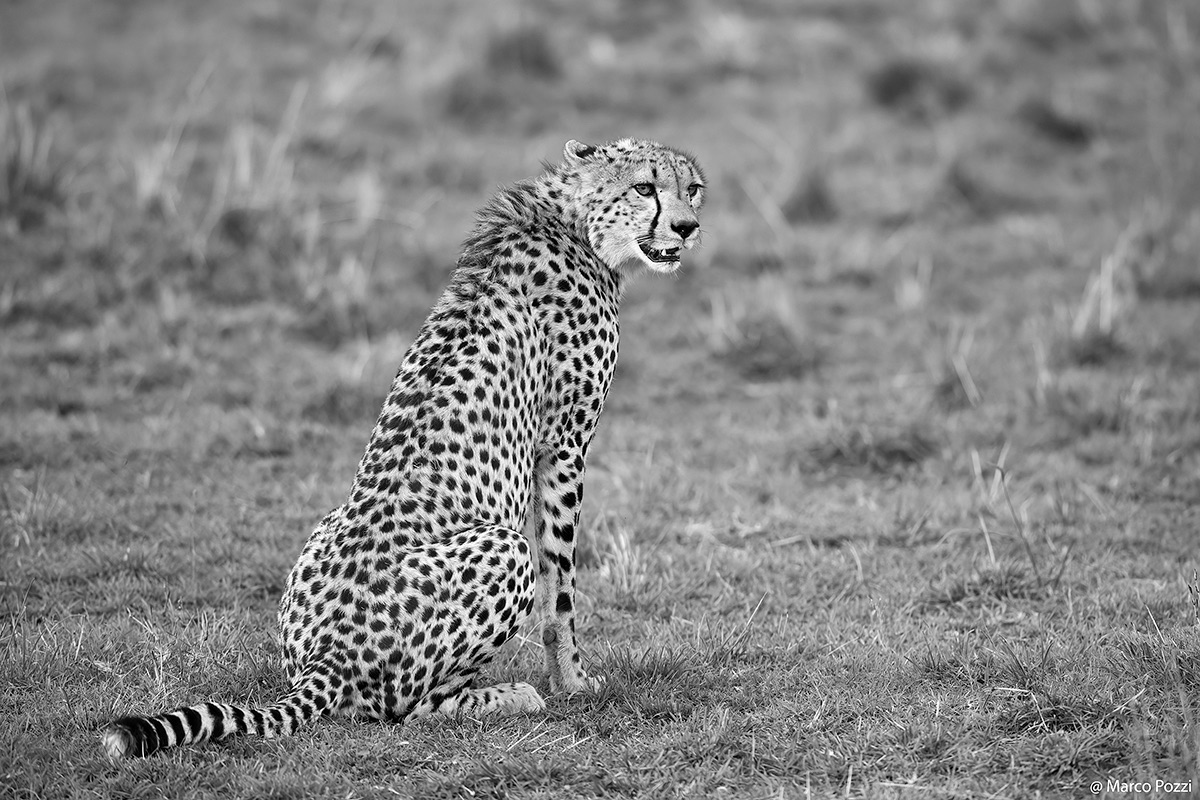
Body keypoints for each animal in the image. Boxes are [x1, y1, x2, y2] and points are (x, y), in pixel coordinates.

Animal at [101, 137, 706, 758]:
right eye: (644, 187)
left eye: (692, 188)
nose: (687, 227)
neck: (574, 221)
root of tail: (327, 657)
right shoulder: (563, 446)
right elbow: (560, 588)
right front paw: (574, 683)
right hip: (502, 547)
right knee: (408, 708)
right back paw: (511, 697)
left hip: (324, 530)